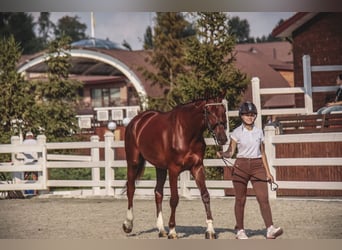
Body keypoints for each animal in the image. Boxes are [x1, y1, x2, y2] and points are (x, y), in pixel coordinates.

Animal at [121, 97, 228, 238]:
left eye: (224, 110)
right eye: (209, 111)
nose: (223, 138)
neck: (186, 132)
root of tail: (136, 121)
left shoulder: (197, 167)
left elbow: (205, 195)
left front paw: (210, 231)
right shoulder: (173, 170)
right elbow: (174, 199)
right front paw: (172, 231)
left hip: (160, 167)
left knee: (158, 193)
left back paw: (161, 230)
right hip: (133, 162)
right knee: (131, 189)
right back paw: (128, 225)